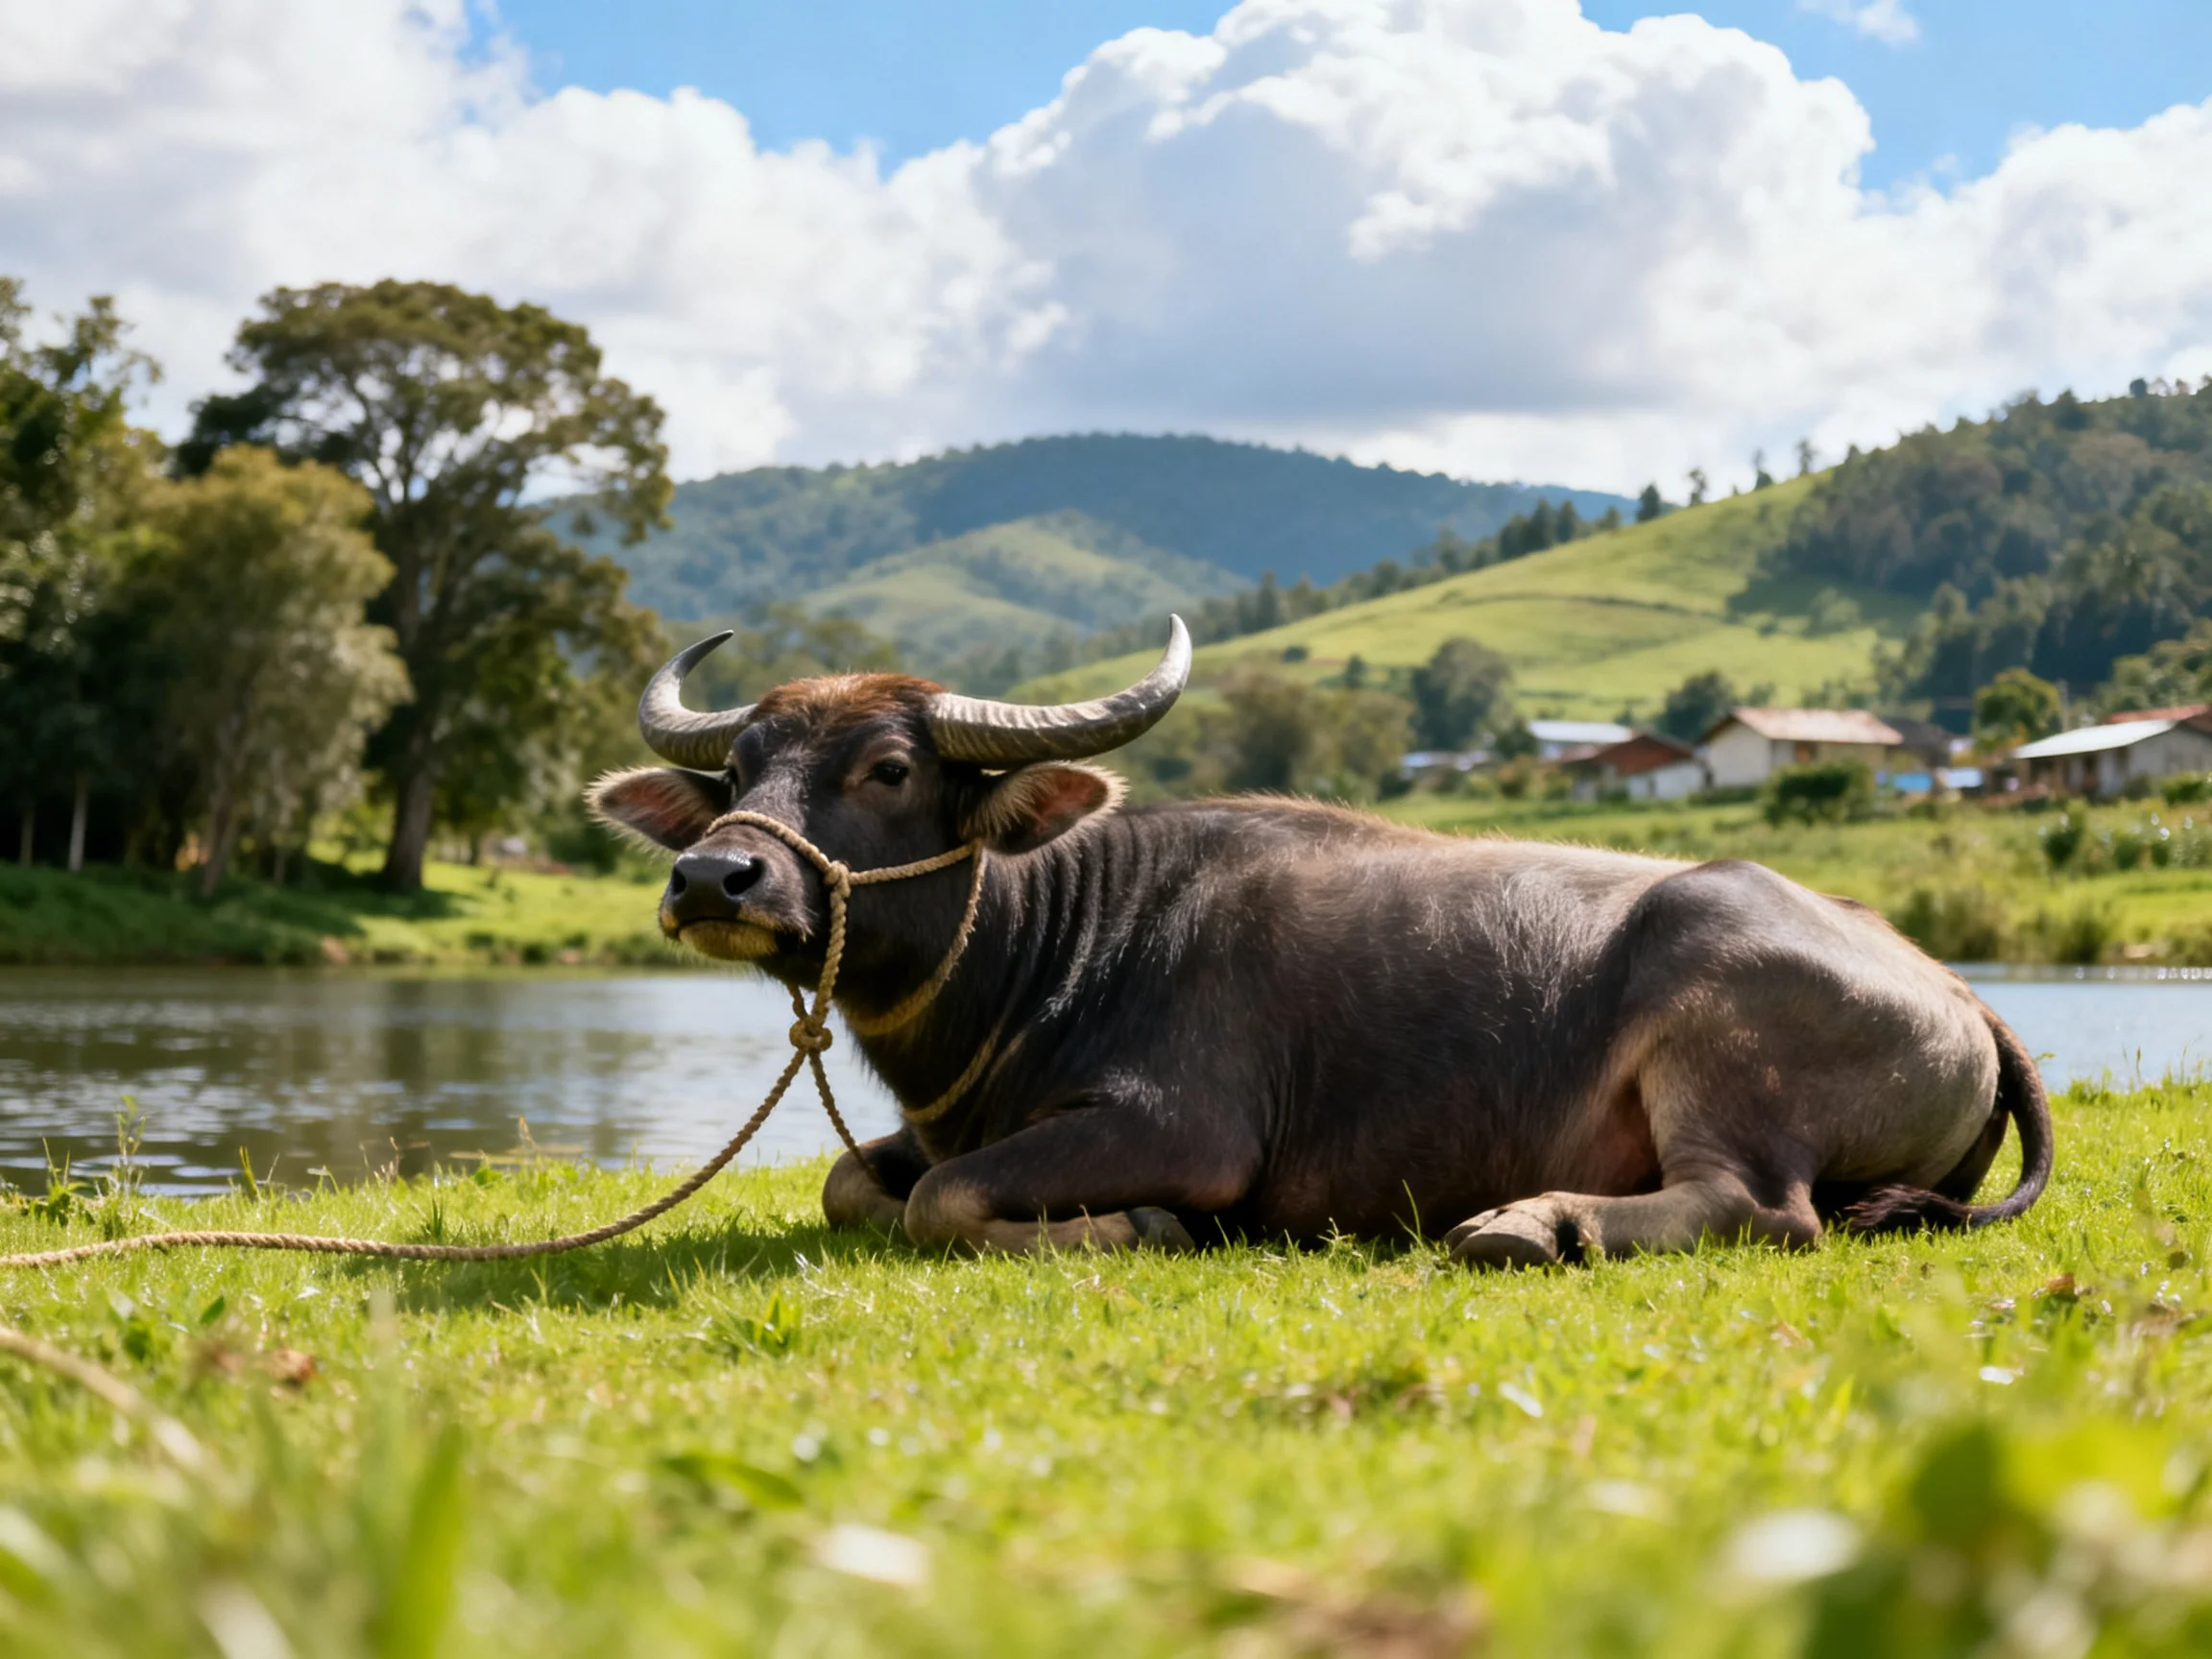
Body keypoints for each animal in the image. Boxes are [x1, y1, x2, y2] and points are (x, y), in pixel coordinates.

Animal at [590, 621, 2049, 1266]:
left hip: (1714, 1018)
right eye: (738, 774)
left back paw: (1527, 1224)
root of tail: (1959, 989)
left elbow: (947, 1201)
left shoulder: (1188, 1127)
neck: (1056, 951)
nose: (713, 875)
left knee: (1759, 1208)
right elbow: (858, 1184)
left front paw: (1142, 1225)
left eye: (889, 768)